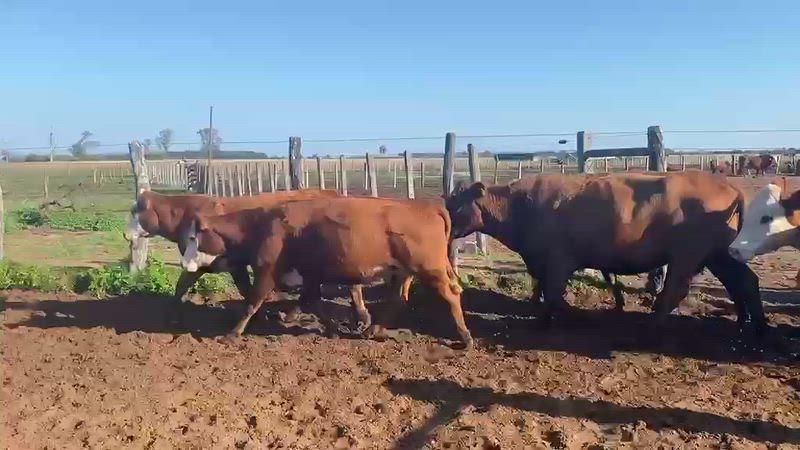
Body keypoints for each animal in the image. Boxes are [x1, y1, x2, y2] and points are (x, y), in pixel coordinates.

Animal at [177, 197, 473, 348]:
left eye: (194, 237)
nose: (183, 264)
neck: (265, 223)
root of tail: (426, 206)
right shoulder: (310, 277)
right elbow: (313, 303)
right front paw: (331, 330)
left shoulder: (267, 272)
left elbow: (252, 302)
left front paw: (232, 334)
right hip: (404, 272)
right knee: (398, 299)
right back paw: (372, 329)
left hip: (431, 270)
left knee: (451, 296)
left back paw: (465, 338)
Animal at [445, 170, 767, 334]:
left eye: (456, 204)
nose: (443, 225)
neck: (521, 205)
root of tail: (726, 184)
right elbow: (545, 292)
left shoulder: (558, 261)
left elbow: (553, 294)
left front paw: (564, 319)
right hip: (720, 254)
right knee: (744, 282)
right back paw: (750, 324)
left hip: (688, 255)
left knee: (676, 289)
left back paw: (654, 324)